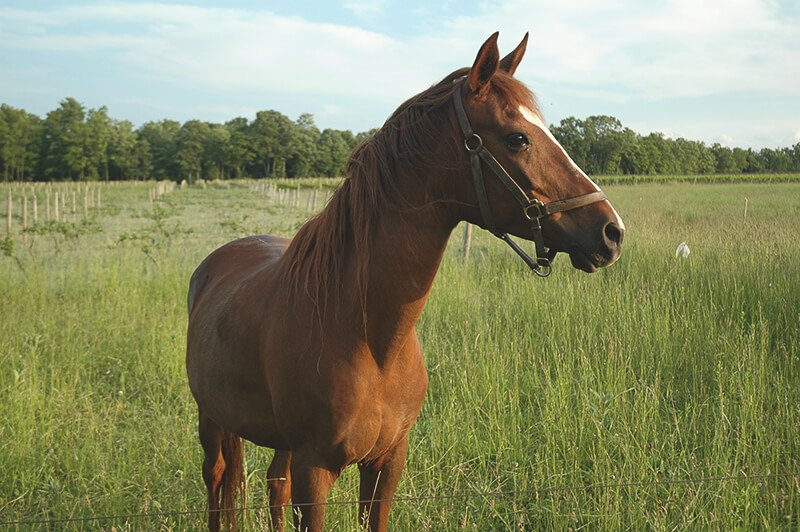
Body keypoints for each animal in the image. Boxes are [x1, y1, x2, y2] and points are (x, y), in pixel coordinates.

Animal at [186, 33, 624, 532]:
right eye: (518, 138)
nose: (611, 231)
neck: (367, 337)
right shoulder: (314, 471)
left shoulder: (387, 464)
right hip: (212, 421)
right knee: (218, 480)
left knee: (272, 484)